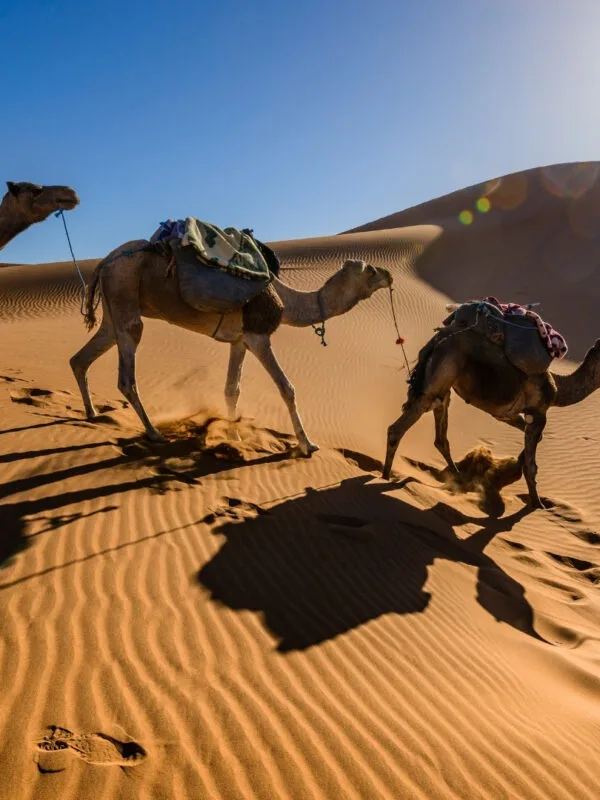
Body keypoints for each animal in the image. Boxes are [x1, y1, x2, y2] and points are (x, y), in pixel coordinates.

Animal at [70, 240, 392, 454]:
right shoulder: (258, 336)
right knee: (127, 372)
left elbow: (231, 389)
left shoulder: (239, 340)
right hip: (124, 290)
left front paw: (234, 437)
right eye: (369, 270)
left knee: (82, 357)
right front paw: (307, 445)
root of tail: (104, 263)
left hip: (113, 308)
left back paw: (93, 414)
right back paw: (153, 433)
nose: (389, 275)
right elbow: (287, 388)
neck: (286, 301)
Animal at [382, 324, 600, 509]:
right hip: (437, 380)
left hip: (442, 388)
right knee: (397, 430)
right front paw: (538, 505)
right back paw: (385, 477)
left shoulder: (508, 415)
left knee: (441, 437)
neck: (557, 389)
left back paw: (459, 478)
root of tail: (436, 341)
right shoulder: (539, 414)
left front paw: (516, 467)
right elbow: (532, 465)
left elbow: (534, 440)